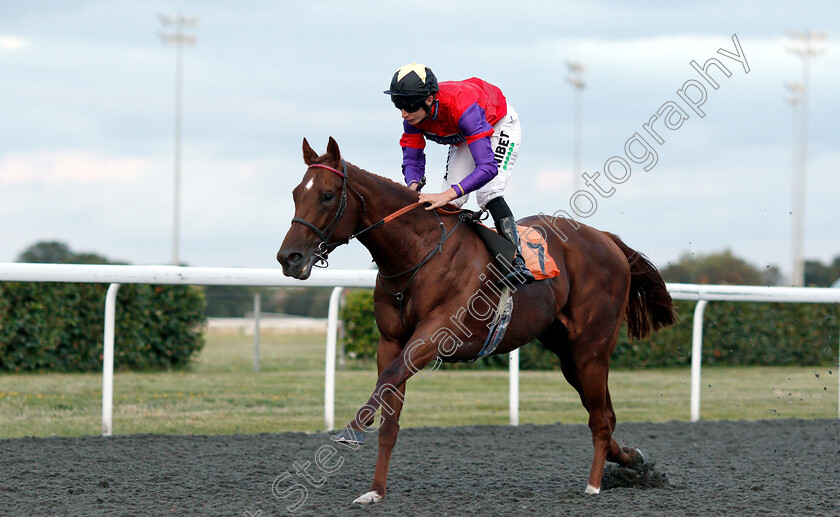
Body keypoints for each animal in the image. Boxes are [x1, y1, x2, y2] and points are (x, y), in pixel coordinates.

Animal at [276, 137, 676, 504]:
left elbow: (388, 380)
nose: (289, 257)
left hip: (592, 348)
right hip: (567, 354)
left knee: (599, 418)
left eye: (327, 196)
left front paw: (353, 429)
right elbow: (390, 411)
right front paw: (375, 491)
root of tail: (605, 239)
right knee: (605, 413)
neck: (418, 252)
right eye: (296, 194)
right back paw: (632, 461)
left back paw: (593, 485)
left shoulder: (433, 336)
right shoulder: (390, 342)